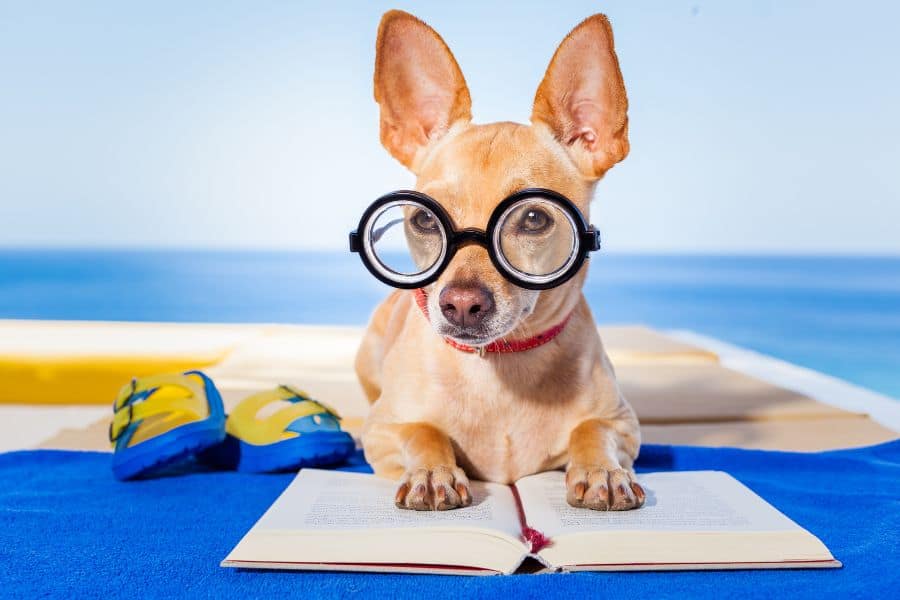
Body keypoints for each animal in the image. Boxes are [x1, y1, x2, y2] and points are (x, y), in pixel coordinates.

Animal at [356, 10, 644, 510]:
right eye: (423, 220)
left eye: (532, 218)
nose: (461, 304)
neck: (499, 367)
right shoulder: (383, 430)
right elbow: (422, 432)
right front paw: (432, 471)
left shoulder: (623, 424)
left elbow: (592, 428)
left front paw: (603, 471)